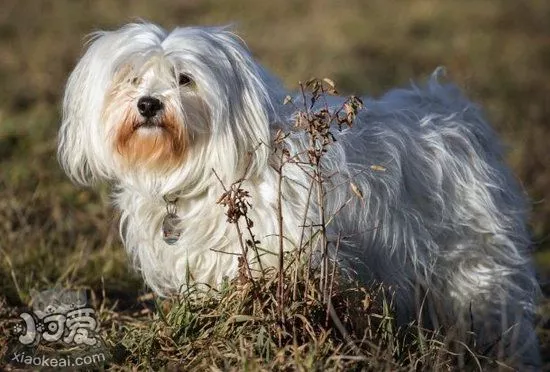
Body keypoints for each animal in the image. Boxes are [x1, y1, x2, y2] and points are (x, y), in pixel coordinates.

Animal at [58, 23, 540, 370]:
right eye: (132, 78)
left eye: (185, 79)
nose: (148, 104)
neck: (205, 170)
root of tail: (453, 113)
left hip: (474, 267)